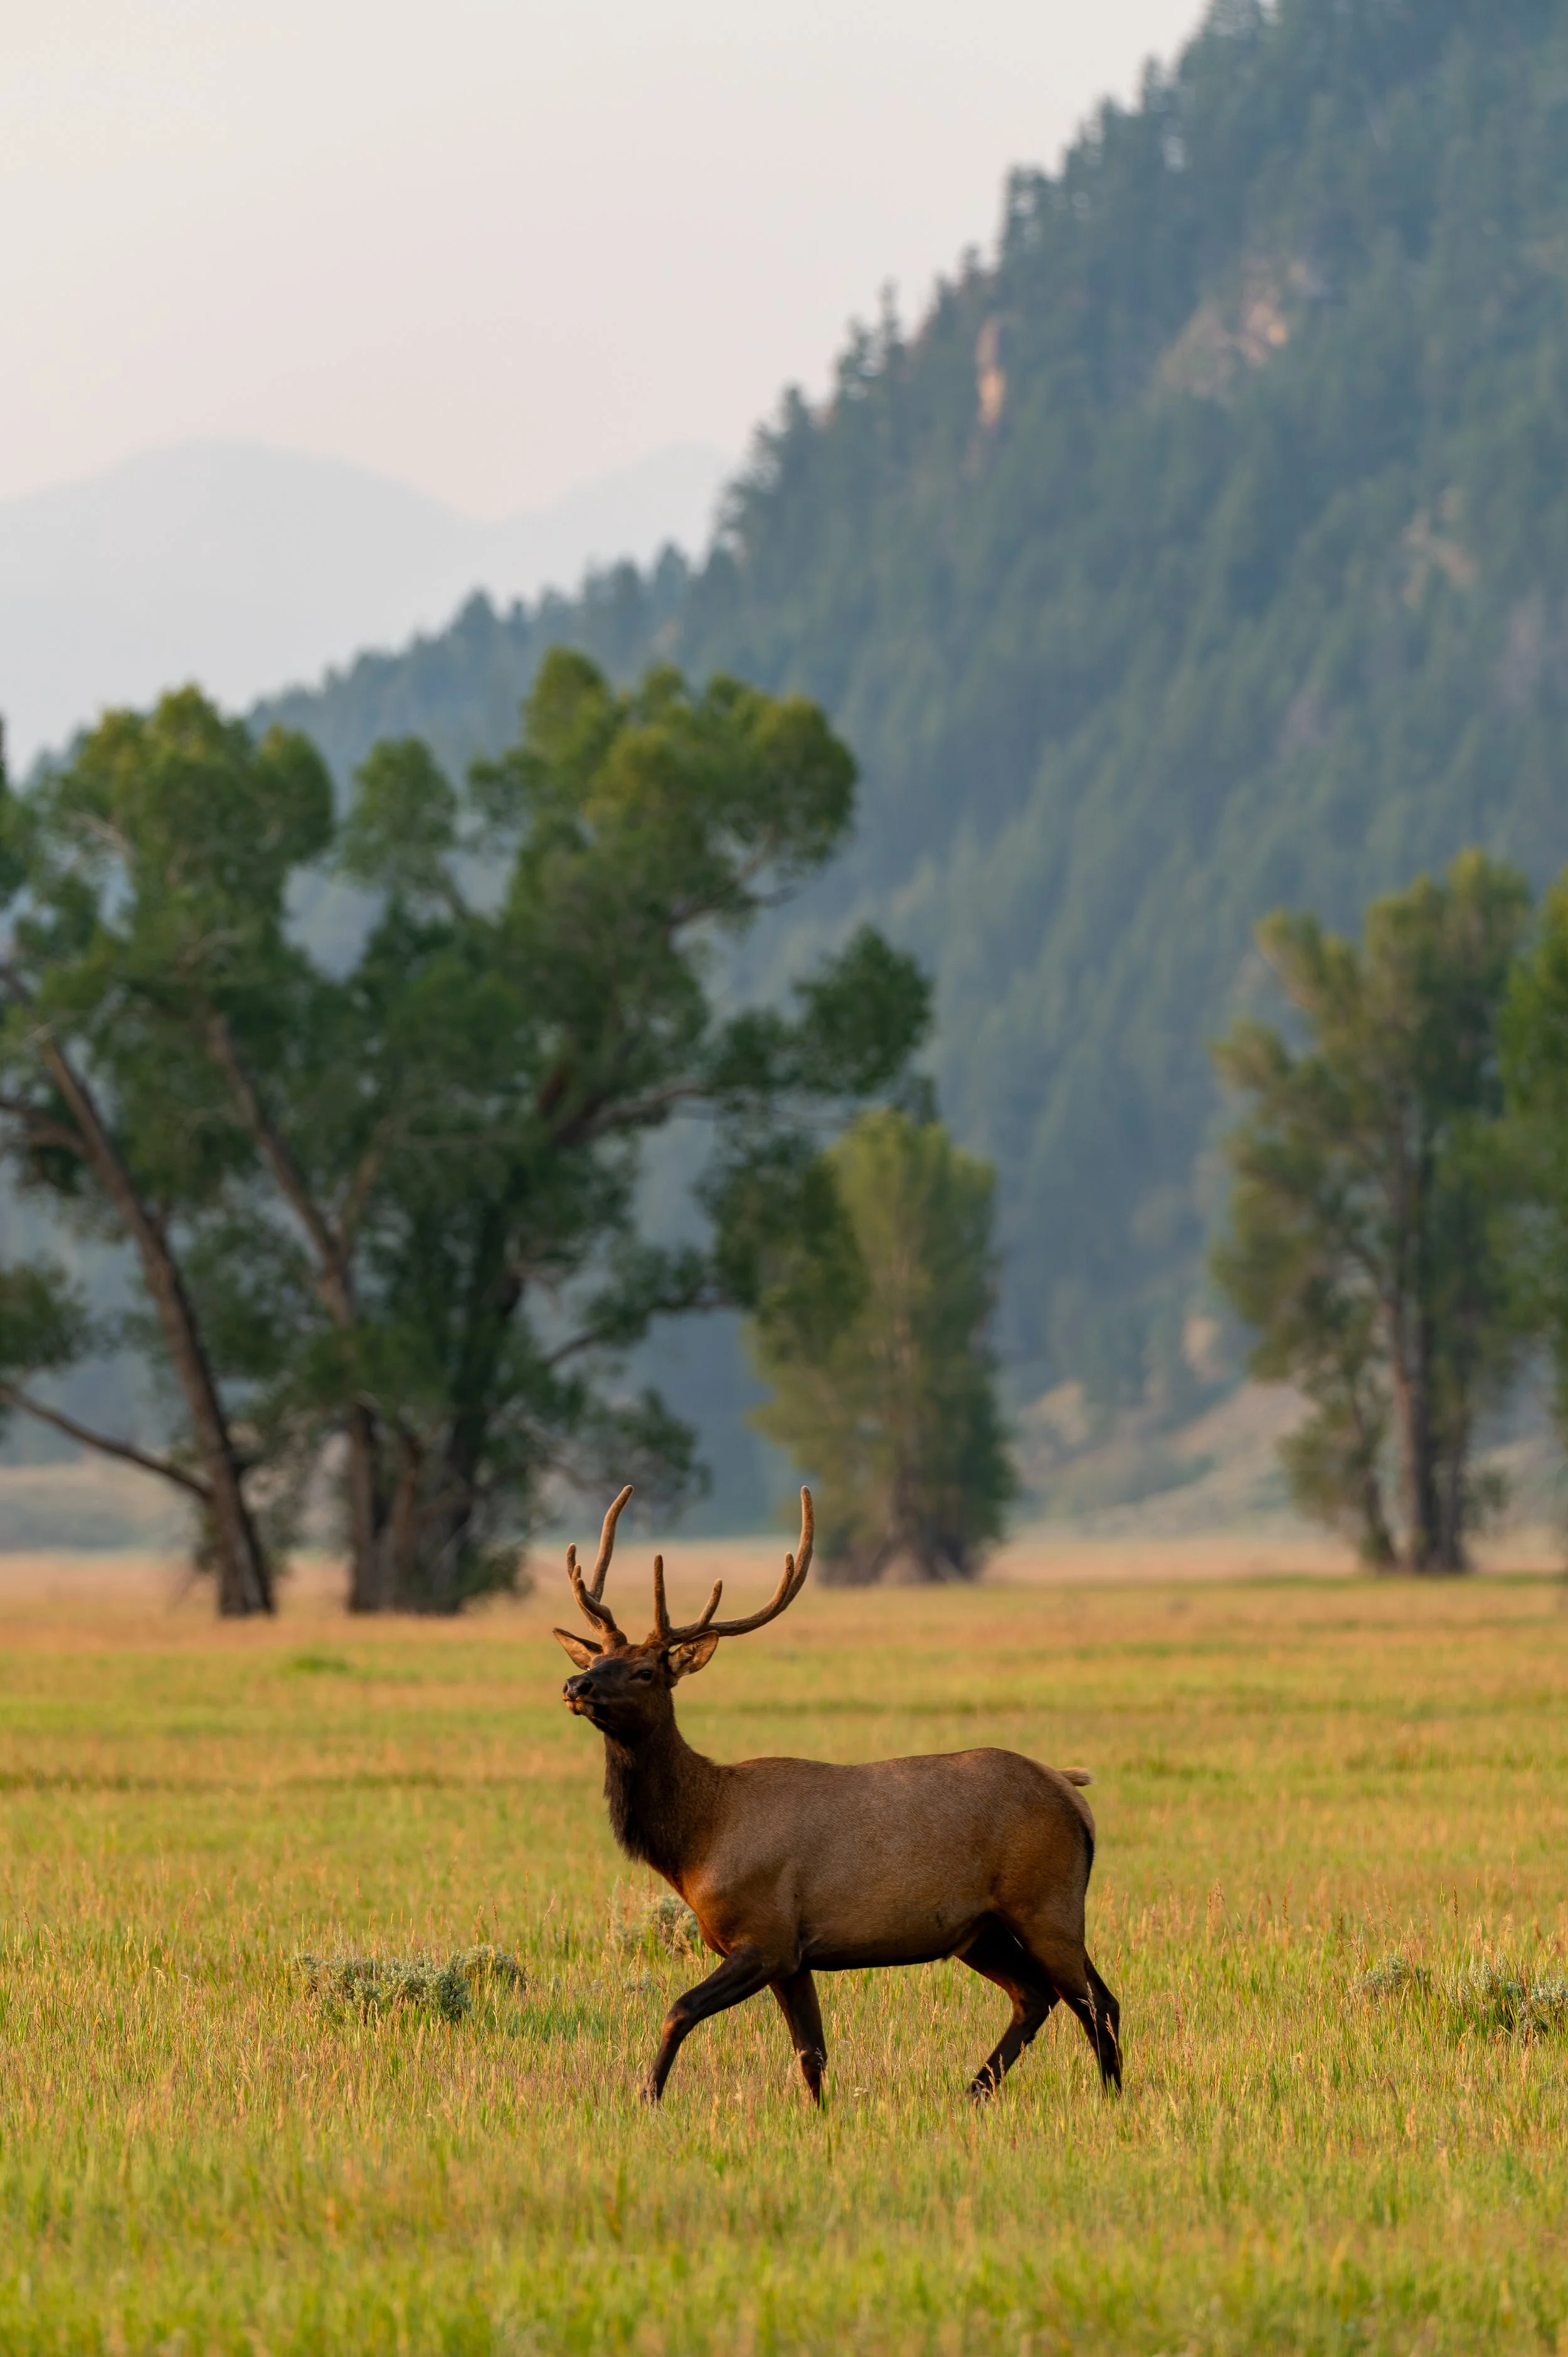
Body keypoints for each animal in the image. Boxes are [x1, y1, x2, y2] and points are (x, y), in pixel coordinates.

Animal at [553, 1483, 1122, 2106]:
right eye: (598, 1657)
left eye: (646, 1671)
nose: (575, 1683)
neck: (697, 1841)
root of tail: (1072, 1793)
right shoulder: (794, 1956)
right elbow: (812, 2053)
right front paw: (819, 2115)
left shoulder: (767, 1935)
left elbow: (678, 2010)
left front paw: (648, 2098)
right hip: (983, 1928)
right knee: (1036, 1997)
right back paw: (974, 2091)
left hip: (1048, 1903)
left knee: (1097, 2002)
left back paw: (1109, 2096)